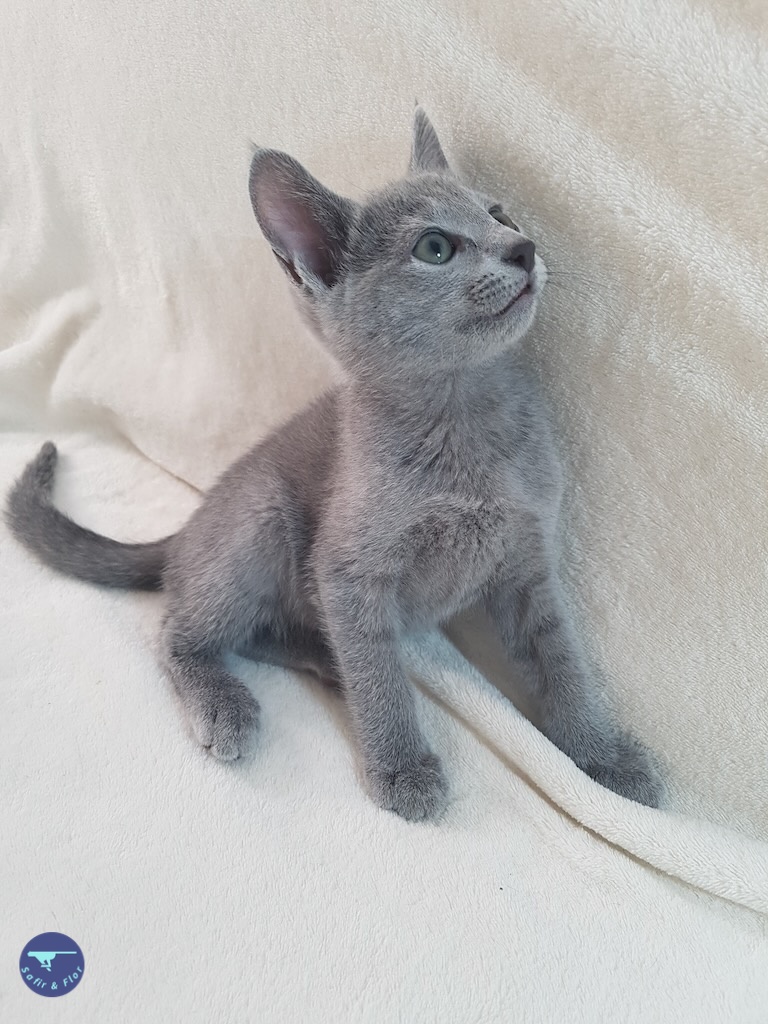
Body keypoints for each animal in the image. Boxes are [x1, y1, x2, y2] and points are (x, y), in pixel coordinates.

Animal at [6, 108, 664, 820]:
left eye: (499, 214)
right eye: (435, 247)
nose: (524, 248)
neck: (462, 417)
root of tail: (187, 529)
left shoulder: (528, 557)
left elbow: (560, 658)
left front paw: (605, 756)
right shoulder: (349, 571)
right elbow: (379, 675)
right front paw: (401, 767)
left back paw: (323, 655)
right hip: (261, 515)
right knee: (180, 630)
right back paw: (229, 701)